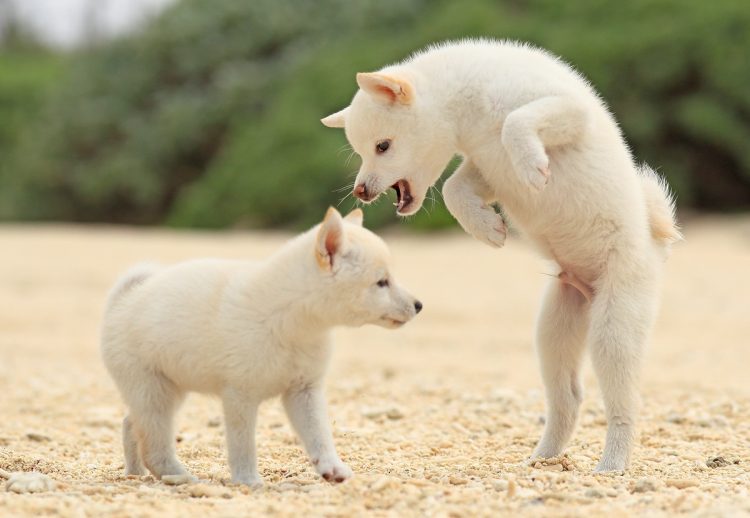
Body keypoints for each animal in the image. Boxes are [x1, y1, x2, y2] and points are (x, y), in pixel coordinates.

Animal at [100, 208, 424, 488]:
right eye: (381, 282)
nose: (419, 305)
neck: (291, 320)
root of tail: (123, 301)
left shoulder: (304, 392)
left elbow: (320, 435)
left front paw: (331, 467)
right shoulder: (240, 396)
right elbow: (243, 445)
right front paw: (248, 481)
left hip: (168, 391)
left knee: (130, 425)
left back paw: (134, 472)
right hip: (155, 395)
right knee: (154, 446)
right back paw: (180, 476)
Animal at [324, 38, 680, 474]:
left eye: (382, 146)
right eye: (362, 151)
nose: (360, 191)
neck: (468, 101)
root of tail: (655, 246)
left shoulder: (568, 110)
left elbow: (515, 123)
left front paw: (531, 169)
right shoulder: (485, 166)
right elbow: (454, 189)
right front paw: (489, 228)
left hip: (614, 325)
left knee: (623, 403)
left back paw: (612, 464)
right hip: (554, 328)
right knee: (568, 397)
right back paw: (542, 457)